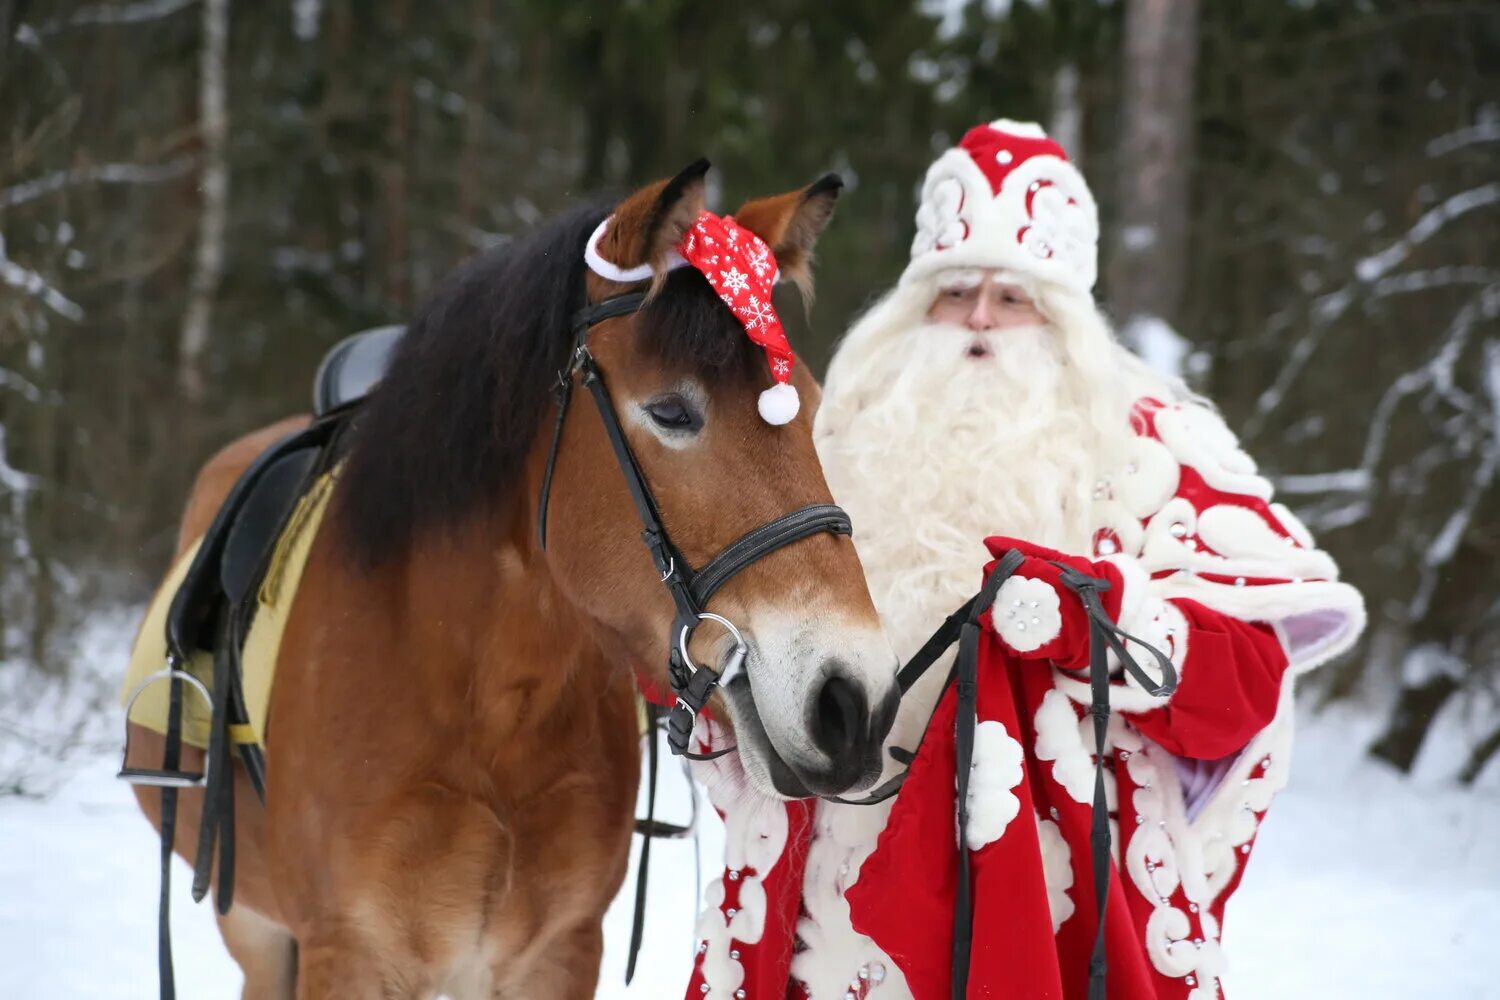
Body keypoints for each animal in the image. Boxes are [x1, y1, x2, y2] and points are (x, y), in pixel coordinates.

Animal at [126, 166, 888, 1000]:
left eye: (809, 409)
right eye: (670, 410)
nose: (852, 702)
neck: (482, 704)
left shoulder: (554, 954)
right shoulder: (350, 958)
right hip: (256, 933)